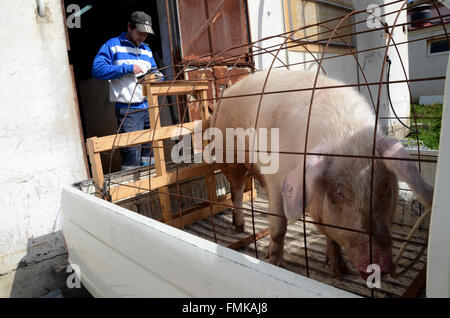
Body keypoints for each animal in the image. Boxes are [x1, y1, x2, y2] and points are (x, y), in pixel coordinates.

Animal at [209, 68, 434, 278]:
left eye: (386, 188)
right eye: (339, 192)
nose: (382, 266)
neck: (346, 136)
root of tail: (228, 91)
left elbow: (331, 236)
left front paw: (340, 270)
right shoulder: (276, 179)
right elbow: (279, 227)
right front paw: (275, 263)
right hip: (229, 157)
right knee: (237, 193)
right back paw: (240, 228)